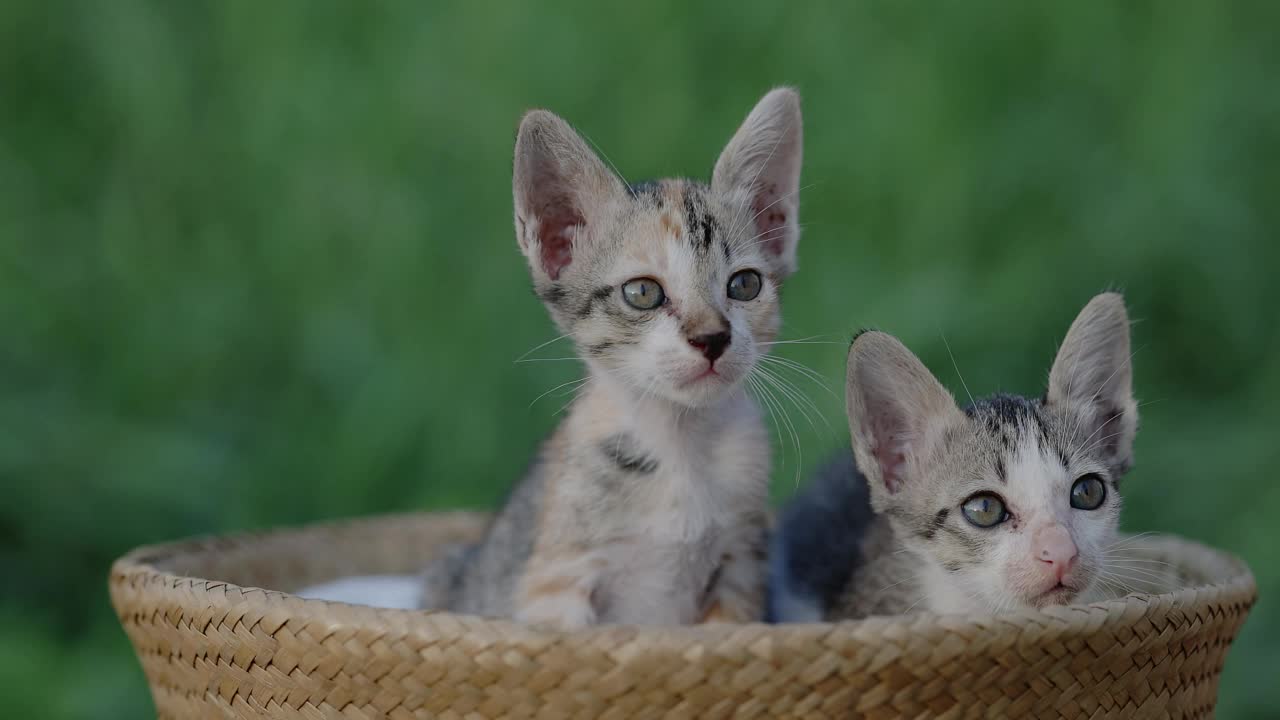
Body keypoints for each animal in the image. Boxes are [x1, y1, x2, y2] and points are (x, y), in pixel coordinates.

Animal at [424, 89, 803, 625]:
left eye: (745, 284)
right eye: (643, 292)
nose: (712, 338)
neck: (679, 446)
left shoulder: (741, 569)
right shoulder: (558, 578)